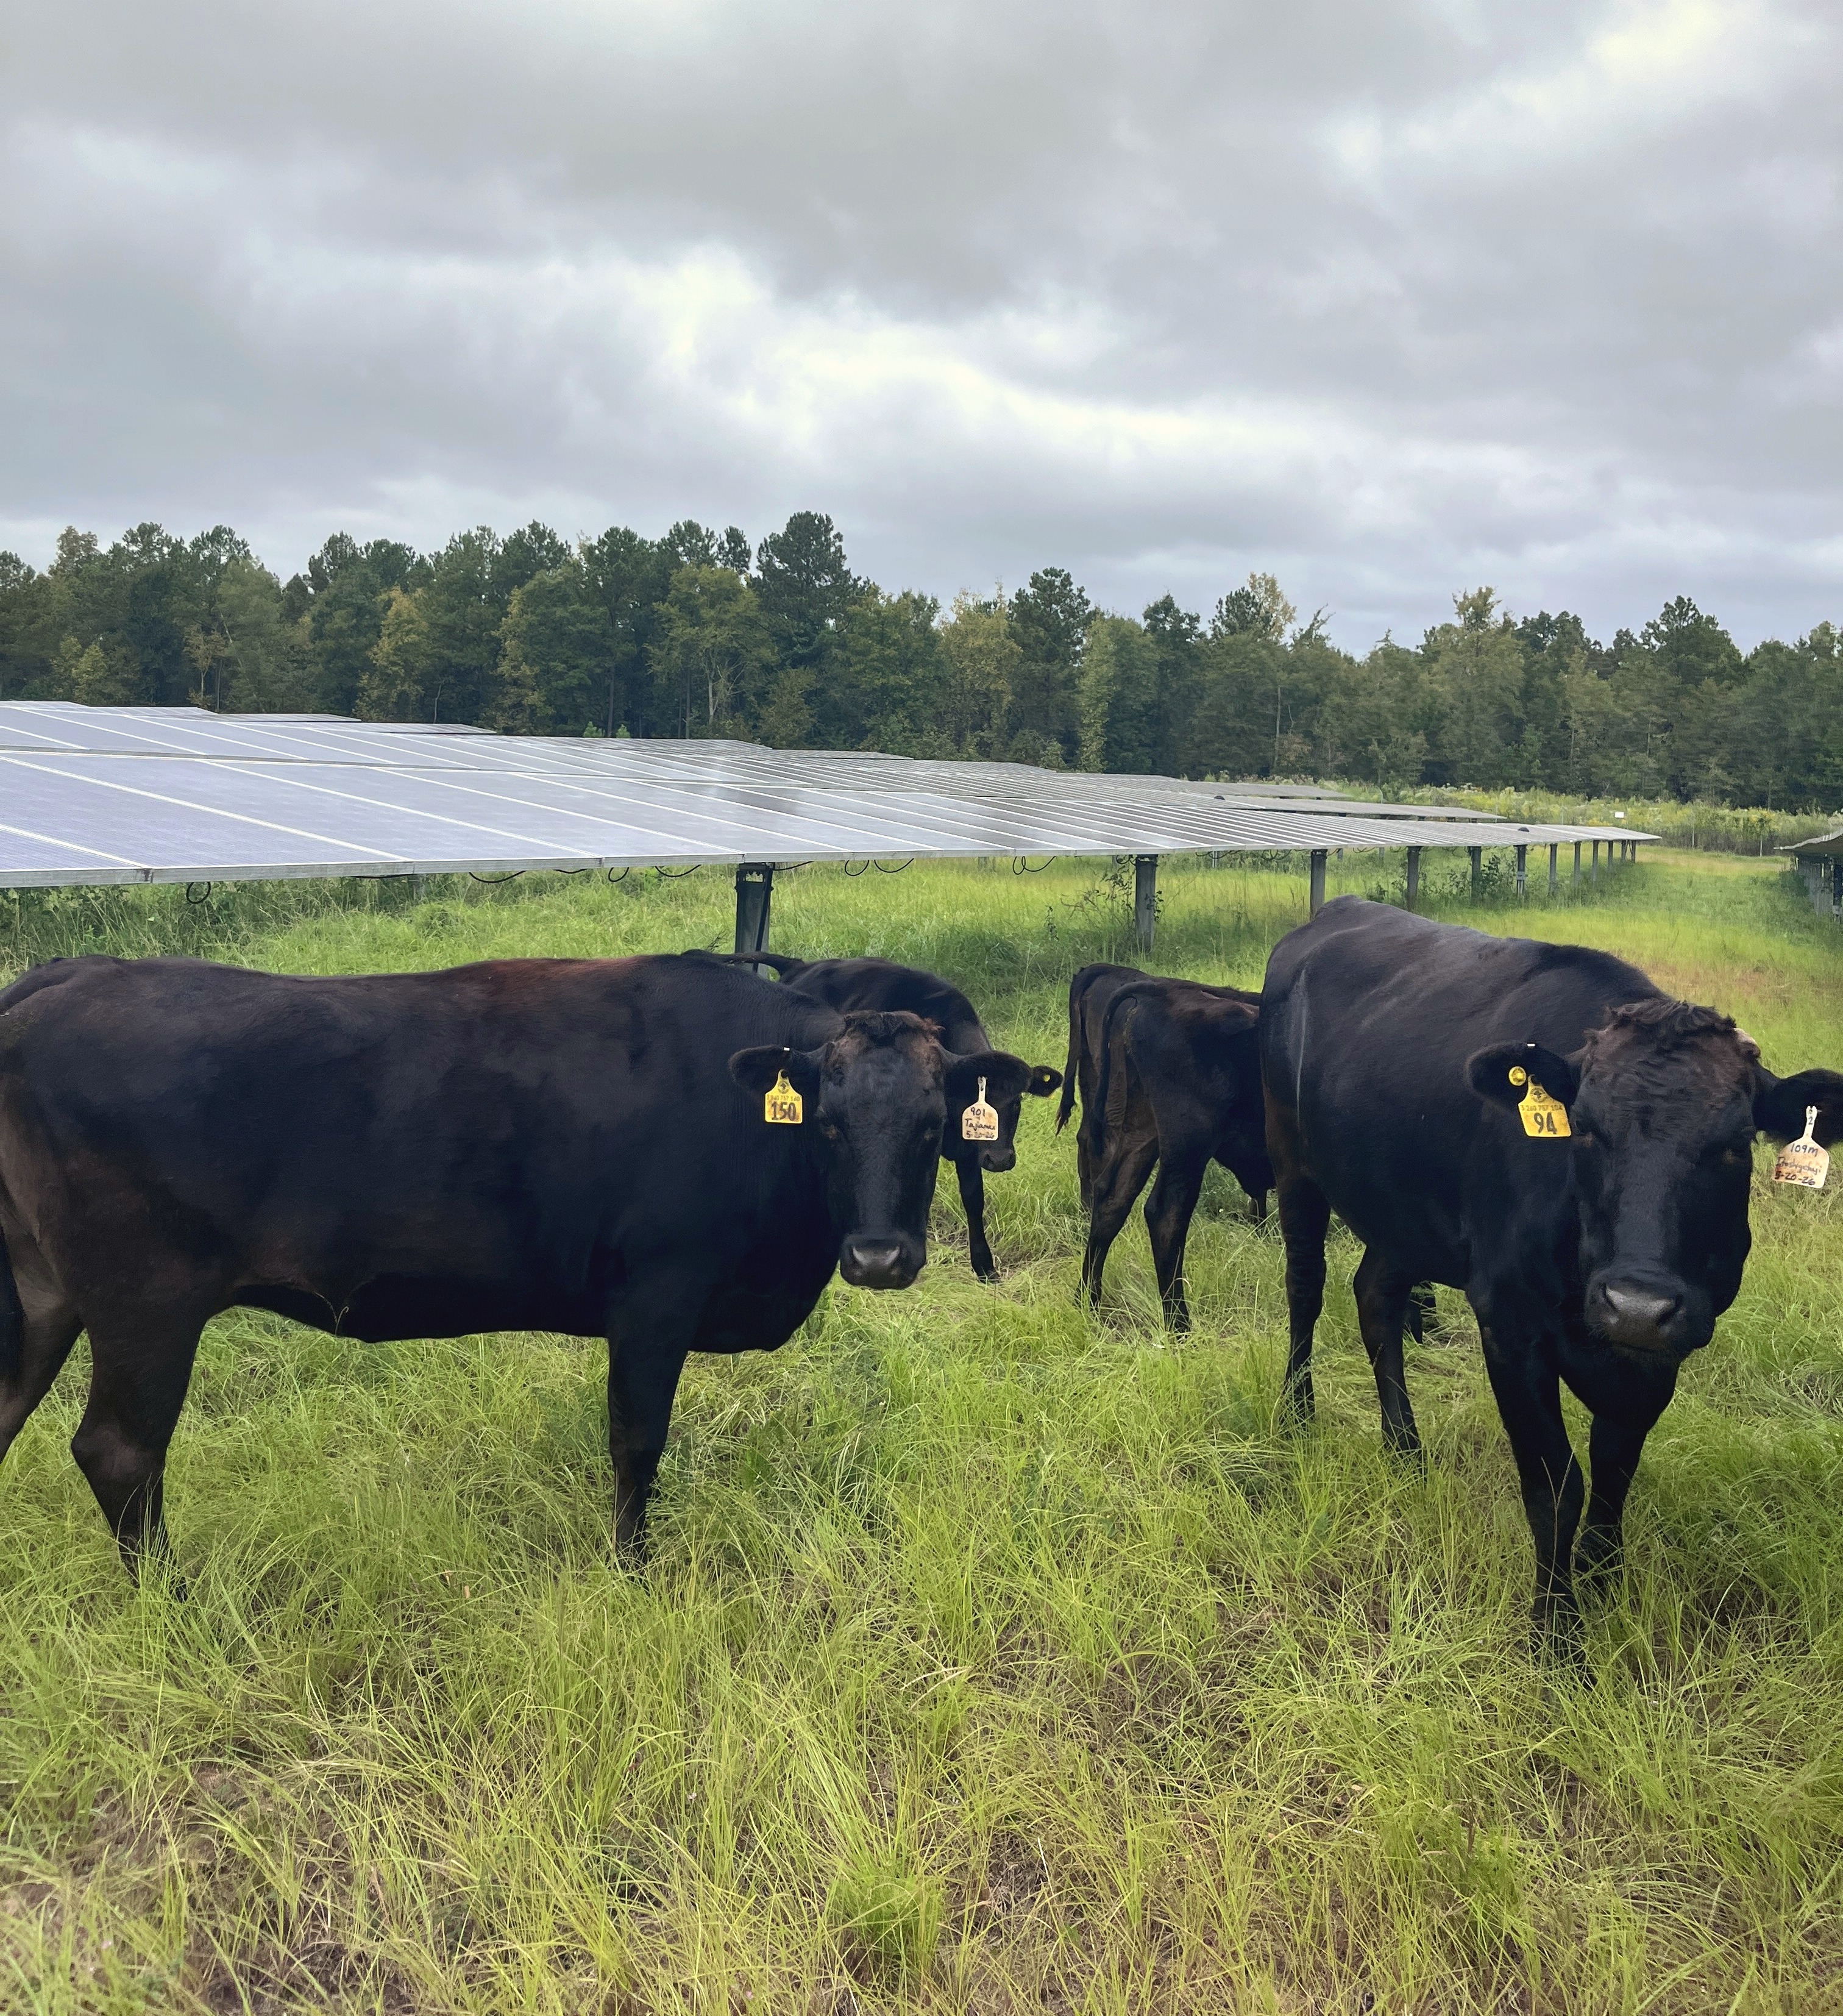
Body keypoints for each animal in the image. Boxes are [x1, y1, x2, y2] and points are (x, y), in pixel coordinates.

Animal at [722, 953, 1061, 1280]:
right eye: (977, 1105)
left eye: (1017, 1103)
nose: (999, 1159)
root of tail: (800, 965)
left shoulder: (967, 1149)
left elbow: (973, 1199)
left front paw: (985, 1267)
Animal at [1077, 975, 1274, 1327]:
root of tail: (1161, 992)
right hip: (1188, 1143)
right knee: (1166, 1214)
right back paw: (1179, 1324)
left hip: (1143, 1131)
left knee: (1113, 1197)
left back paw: (1089, 1301)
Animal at [1260, 898, 1843, 1661]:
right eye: (1586, 1129)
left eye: (1732, 1142)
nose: (1635, 1303)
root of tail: (1333, 911)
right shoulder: (1510, 1324)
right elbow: (1554, 1482)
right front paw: (1558, 1632)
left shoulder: (1664, 1346)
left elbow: (1616, 1466)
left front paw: (1604, 1580)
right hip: (1293, 1158)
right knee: (1306, 1284)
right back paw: (1297, 1414)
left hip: (1404, 1214)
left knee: (1374, 1295)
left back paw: (1406, 1450)